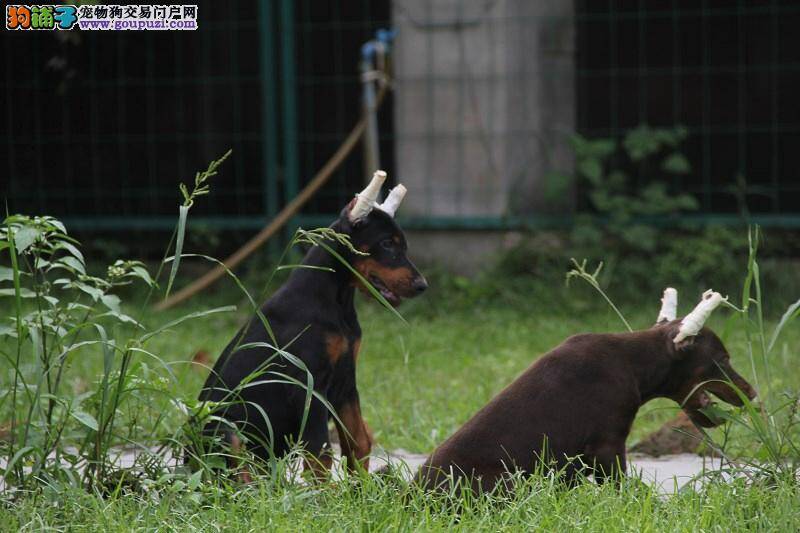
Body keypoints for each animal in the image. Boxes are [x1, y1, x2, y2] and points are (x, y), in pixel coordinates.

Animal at [199, 171, 424, 478]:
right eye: (387, 244)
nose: (422, 286)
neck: (338, 301)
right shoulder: (310, 384)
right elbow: (320, 452)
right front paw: (327, 490)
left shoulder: (345, 381)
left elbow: (358, 440)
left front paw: (360, 485)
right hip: (224, 426)